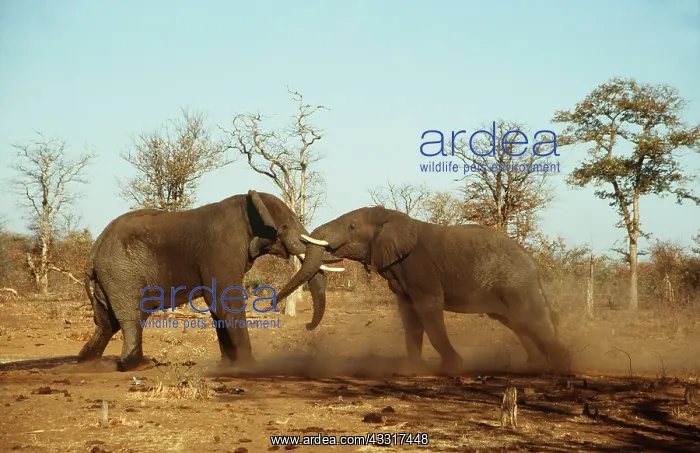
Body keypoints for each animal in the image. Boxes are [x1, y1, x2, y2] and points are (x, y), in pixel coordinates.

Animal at [78, 190, 345, 372]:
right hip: (122, 272)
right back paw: (141, 364)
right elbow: (226, 302)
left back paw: (87, 362)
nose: (307, 326)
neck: (249, 203)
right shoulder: (222, 249)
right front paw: (250, 367)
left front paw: (229, 365)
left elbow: (219, 307)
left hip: (110, 278)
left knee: (107, 323)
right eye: (286, 225)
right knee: (131, 318)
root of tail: (93, 253)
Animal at [274, 206, 569, 374]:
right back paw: (534, 366)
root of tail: (533, 262)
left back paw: (564, 366)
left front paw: (452, 367)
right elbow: (409, 315)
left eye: (352, 226)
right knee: (517, 323)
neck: (393, 219)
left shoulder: (419, 267)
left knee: (532, 318)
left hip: (516, 283)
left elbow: (428, 308)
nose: (307, 326)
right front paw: (413, 369)